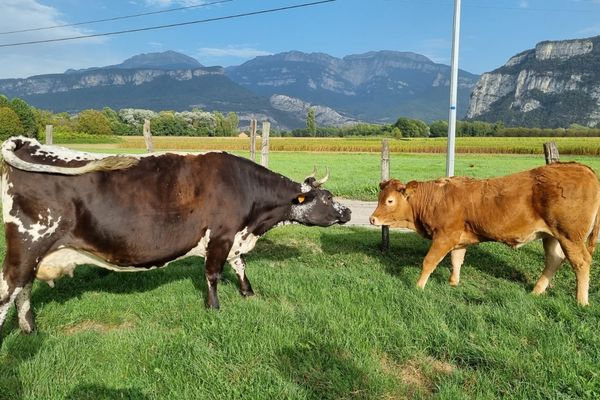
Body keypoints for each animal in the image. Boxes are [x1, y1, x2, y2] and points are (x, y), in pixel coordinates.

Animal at [0, 136, 352, 336]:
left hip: (33, 252)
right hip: (27, 244)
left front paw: (248, 293)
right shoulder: (221, 235)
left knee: (24, 290)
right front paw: (214, 308)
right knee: (8, 292)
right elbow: (212, 274)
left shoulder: (236, 238)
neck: (255, 222)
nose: (348, 211)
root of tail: (29, 143)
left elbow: (240, 265)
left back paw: (30, 330)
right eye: (327, 197)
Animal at [370, 161, 600, 304]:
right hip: (552, 236)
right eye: (380, 197)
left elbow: (429, 261)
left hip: (570, 235)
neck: (436, 198)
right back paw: (536, 291)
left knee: (581, 262)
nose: (372, 219)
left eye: (389, 201)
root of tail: (581, 167)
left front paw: (418, 286)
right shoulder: (459, 237)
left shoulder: (444, 235)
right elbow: (456, 259)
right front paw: (453, 282)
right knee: (554, 260)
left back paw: (581, 301)